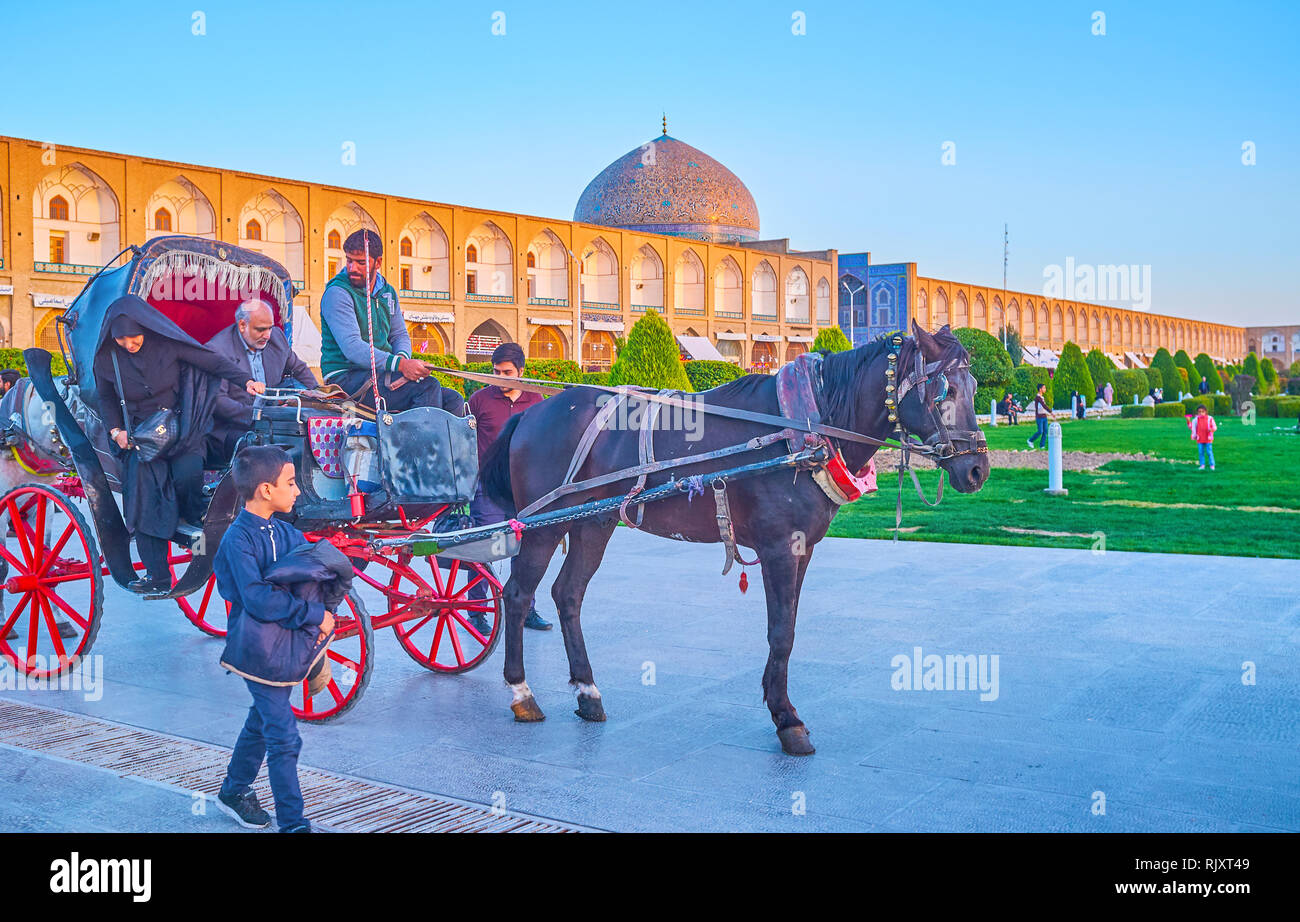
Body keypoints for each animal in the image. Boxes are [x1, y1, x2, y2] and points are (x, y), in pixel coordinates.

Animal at [480, 319, 982, 754]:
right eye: (945, 390)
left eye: (976, 388)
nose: (977, 468)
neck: (807, 430)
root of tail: (533, 414)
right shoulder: (780, 548)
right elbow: (781, 632)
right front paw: (786, 719)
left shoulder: (803, 548)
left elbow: (789, 626)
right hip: (545, 523)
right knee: (518, 593)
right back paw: (521, 692)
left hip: (594, 521)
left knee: (568, 593)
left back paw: (588, 692)